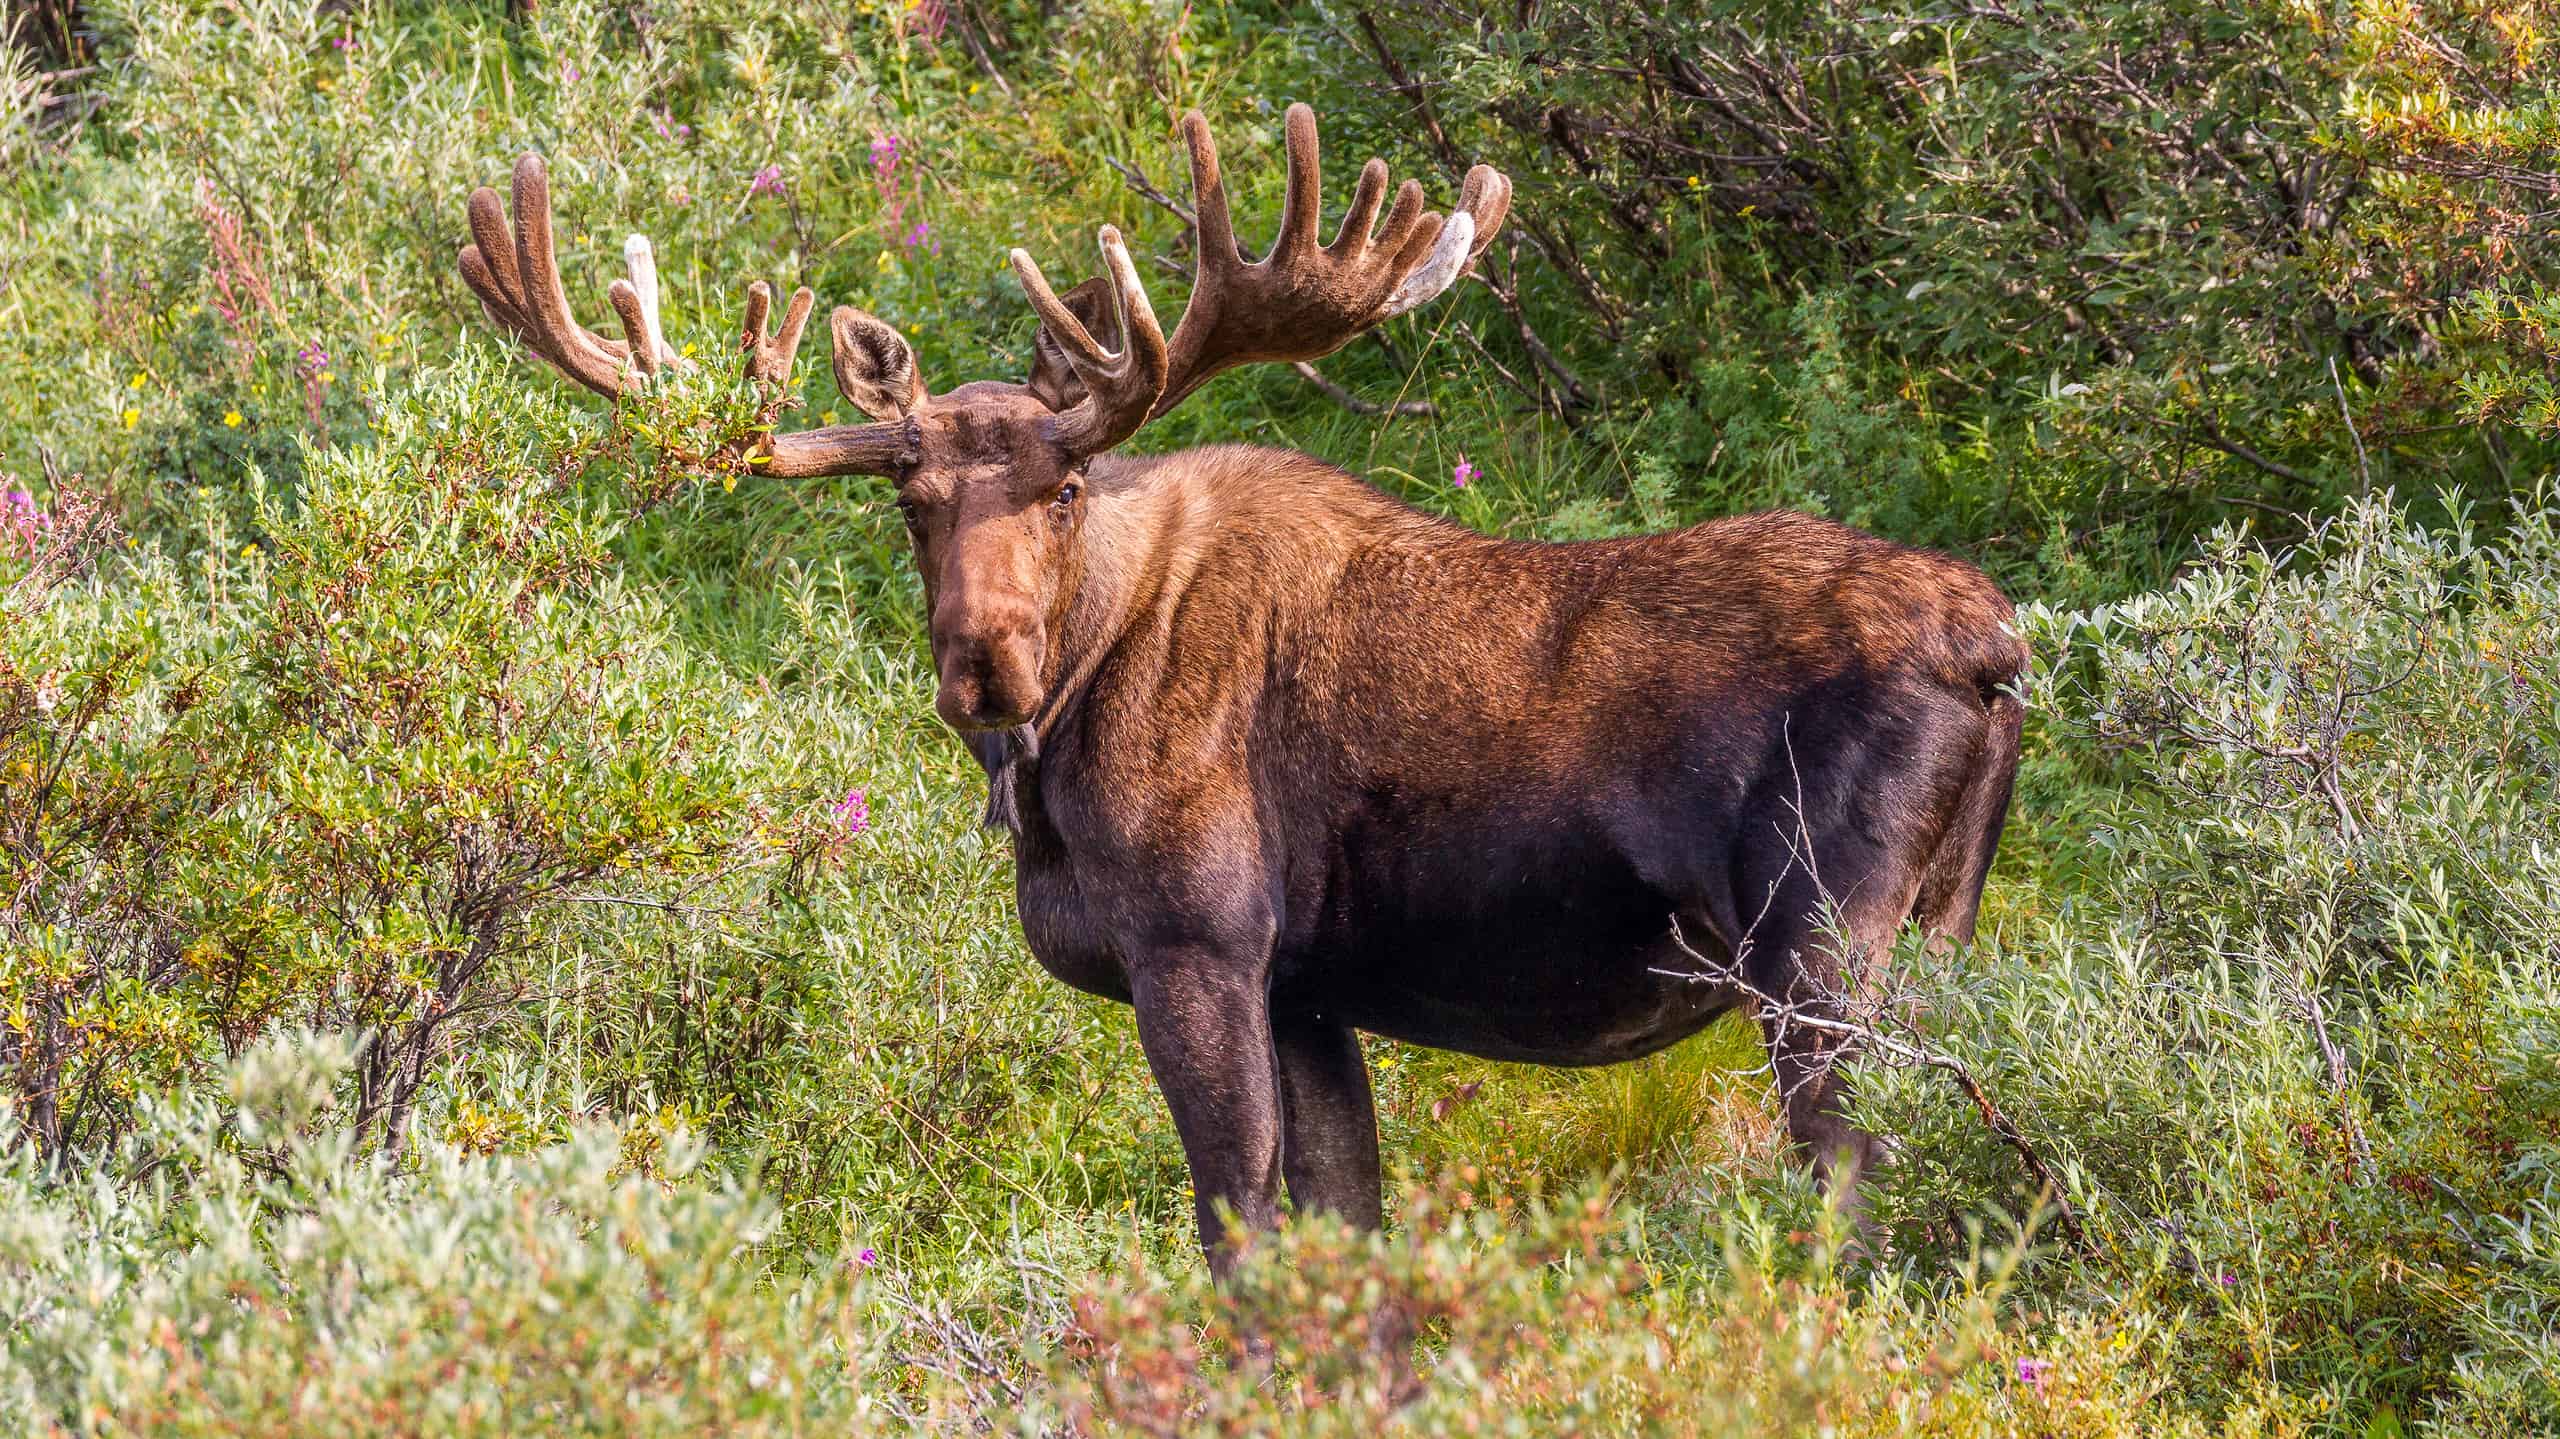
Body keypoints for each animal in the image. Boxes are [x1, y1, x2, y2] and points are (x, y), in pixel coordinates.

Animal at [455, 109, 2017, 1264]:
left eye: (1065, 484)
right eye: (910, 499)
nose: (984, 666)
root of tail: (1999, 651)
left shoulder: (1198, 942)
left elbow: (1239, 1233)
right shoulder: (1309, 984)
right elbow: (1342, 1223)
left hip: (1817, 943)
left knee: (1860, 1176)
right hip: (1939, 926)